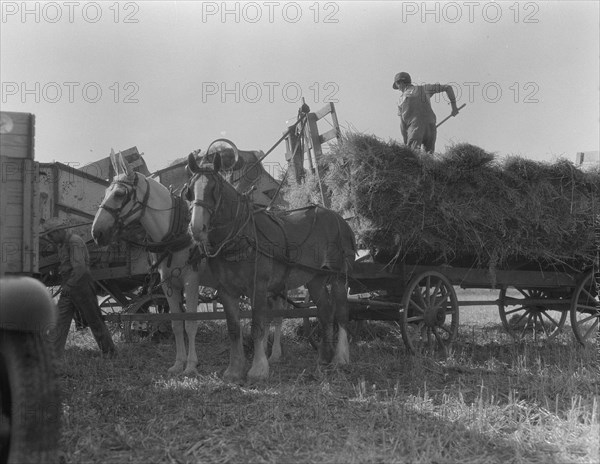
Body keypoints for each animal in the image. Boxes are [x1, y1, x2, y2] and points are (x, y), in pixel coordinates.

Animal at [92, 152, 284, 376]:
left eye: (120, 194)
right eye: (106, 192)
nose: (96, 232)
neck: (175, 234)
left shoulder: (191, 281)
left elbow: (191, 323)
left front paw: (191, 365)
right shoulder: (169, 284)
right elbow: (176, 324)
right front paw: (178, 363)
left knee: (277, 316)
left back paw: (274, 354)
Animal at [188, 150, 356, 382]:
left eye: (214, 188)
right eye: (190, 190)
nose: (197, 228)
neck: (241, 236)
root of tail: (339, 219)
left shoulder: (258, 286)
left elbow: (258, 326)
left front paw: (258, 368)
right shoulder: (226, 291)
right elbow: (234, 329)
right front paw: (234, 369)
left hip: (339, 276)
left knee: (341, 312)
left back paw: (340, 357)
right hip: (315, 279)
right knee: (325, 311)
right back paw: (324, 358)